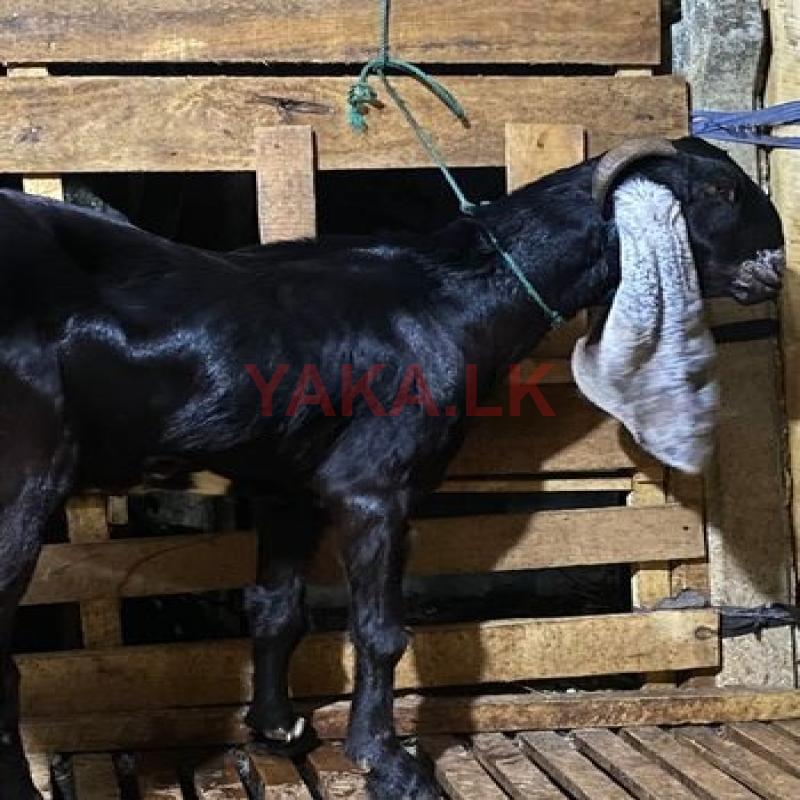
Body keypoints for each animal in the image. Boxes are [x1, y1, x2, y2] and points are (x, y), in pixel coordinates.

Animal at [0, 137, 784, 798]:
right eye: (720, 189)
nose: (776, 265)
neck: (450, 294)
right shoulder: (375, 486)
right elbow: (379, 631)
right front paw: (387, 763)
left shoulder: (288, 485)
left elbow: (276, 607)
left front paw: (278, 726)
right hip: (21, 488)